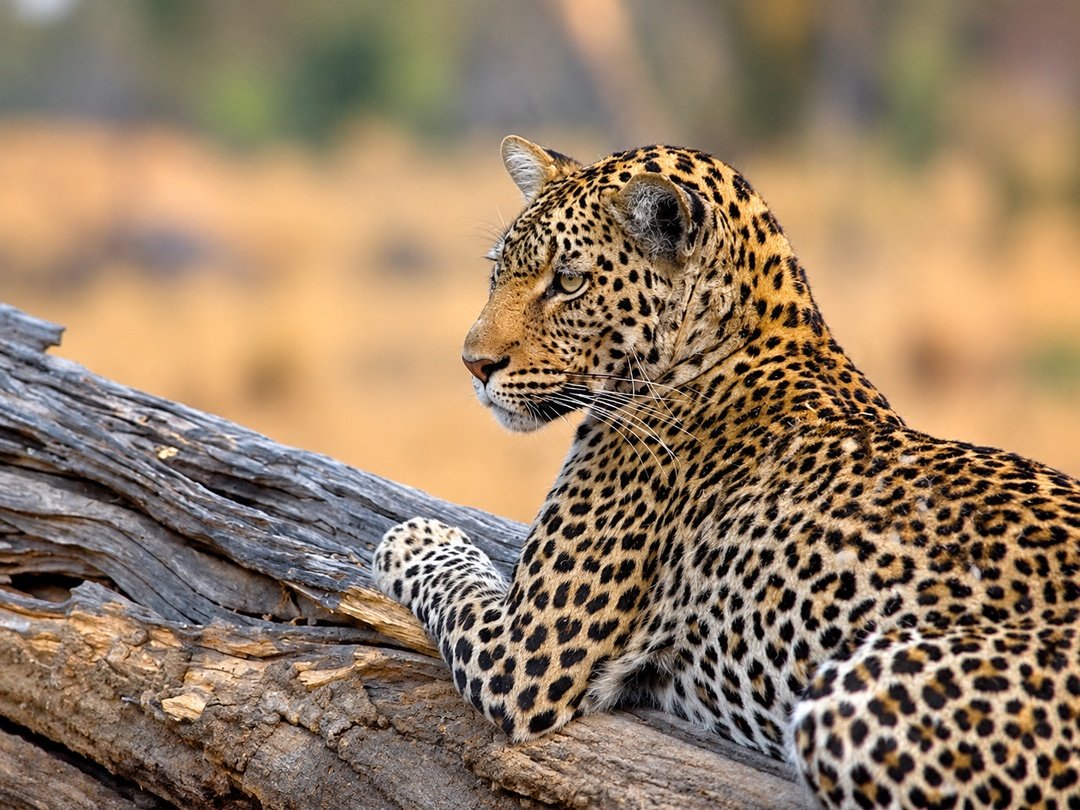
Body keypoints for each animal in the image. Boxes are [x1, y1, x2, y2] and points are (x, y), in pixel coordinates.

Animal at [373, 136, 1080, 809]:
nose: (473, 364)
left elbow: (451, 576)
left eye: (568, 282)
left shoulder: (526, 652)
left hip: (848, 698)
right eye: (499, 271)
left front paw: (416, 535)